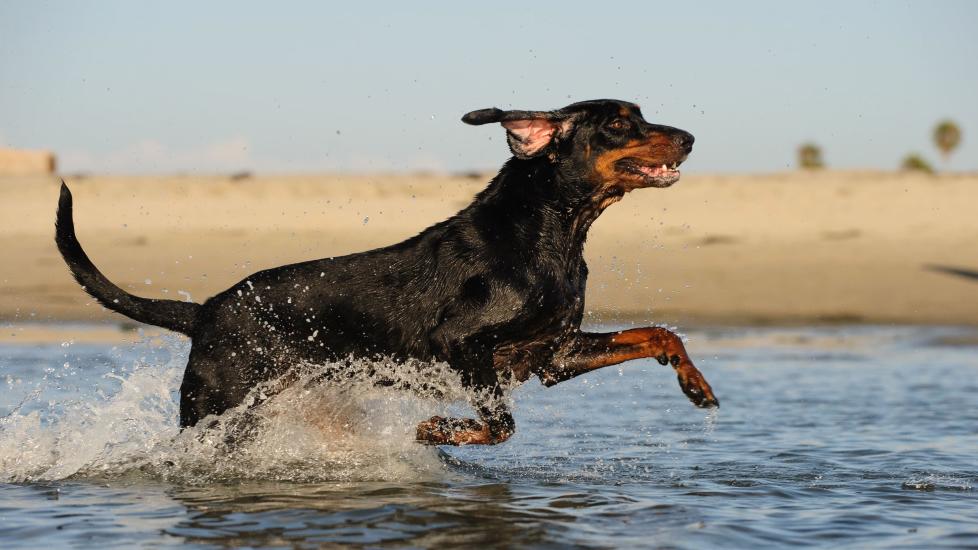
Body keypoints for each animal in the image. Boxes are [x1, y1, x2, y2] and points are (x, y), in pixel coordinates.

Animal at [55, 100, 716, 448]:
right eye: (619, 123)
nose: (689, 136)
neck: (551, 234)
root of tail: (206, 310)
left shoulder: (553, 354)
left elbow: (659, 333)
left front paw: (696, 385)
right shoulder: (460, 344)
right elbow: (500, 424)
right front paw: (439, 431)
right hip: (217, 407)